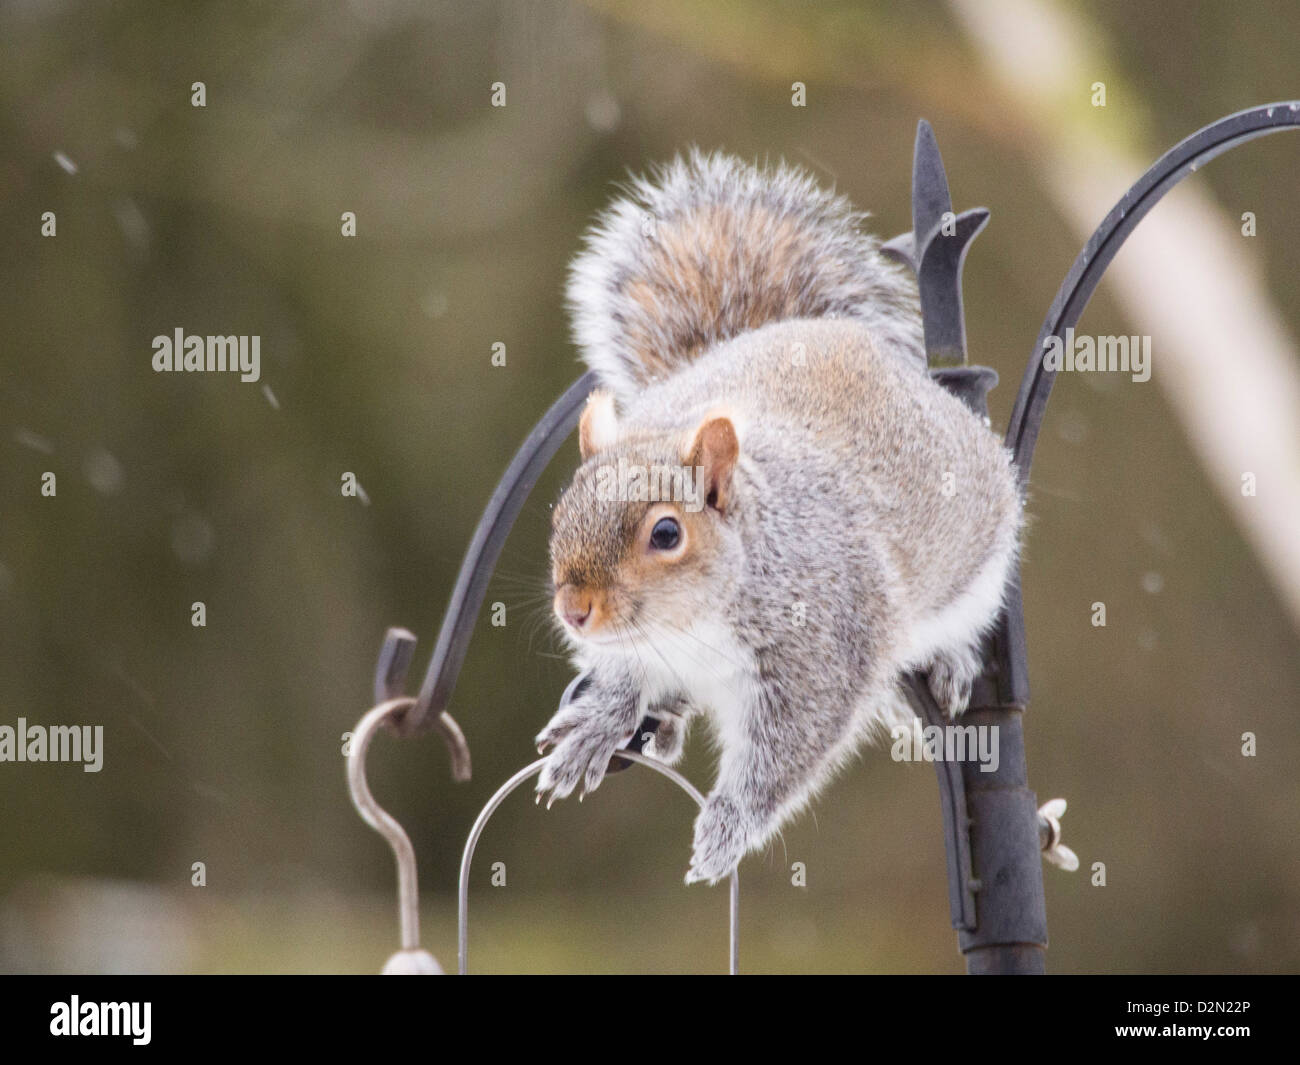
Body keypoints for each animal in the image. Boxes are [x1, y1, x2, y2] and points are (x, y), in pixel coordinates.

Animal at [534, 150, 1021, 885]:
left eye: (666, 533)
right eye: (562, 512)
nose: (575, 611)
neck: (689, 623)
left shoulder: (820, 652)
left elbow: (788, 753)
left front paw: (728, 827)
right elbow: (622, 680)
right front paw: (598, 723)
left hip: (975, 571)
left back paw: (950, 664)